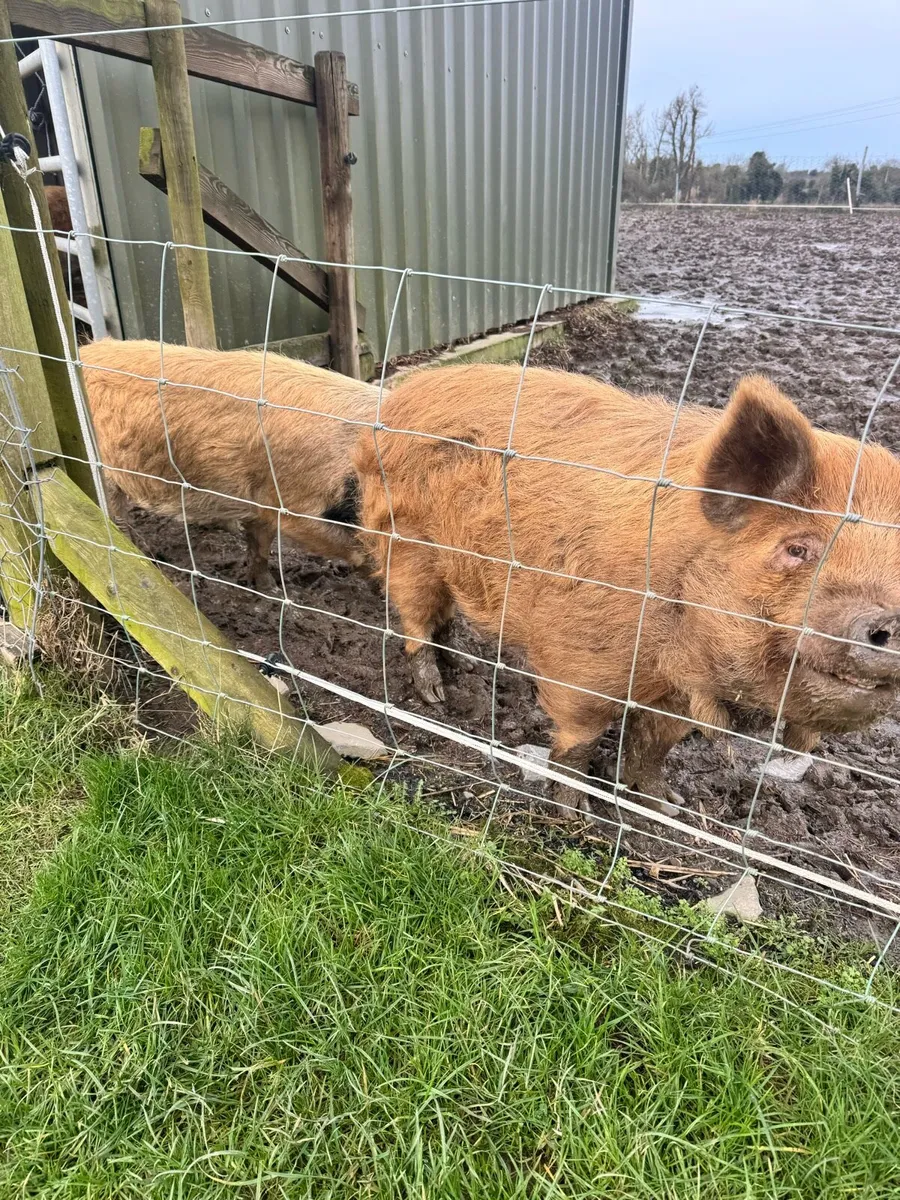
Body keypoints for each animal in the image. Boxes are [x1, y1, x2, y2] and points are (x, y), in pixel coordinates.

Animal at [80, 339, 379, 590]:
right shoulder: (293, 505)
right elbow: (359, 550)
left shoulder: (261, 498)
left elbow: (261, 544)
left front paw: (267, 588)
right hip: (103, 468)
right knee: (116, 513)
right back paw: (143, 556)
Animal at [352, 363, 900, 816]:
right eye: (797, 548)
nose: (888, 620)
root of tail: (399, 396)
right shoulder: (582, 658)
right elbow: (582, 734)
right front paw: (574, 812)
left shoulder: (675, 693)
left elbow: (654, 744)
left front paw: (671, 808)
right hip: (405, 538)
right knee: (414, 618)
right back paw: (435, 697)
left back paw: (462, 668)